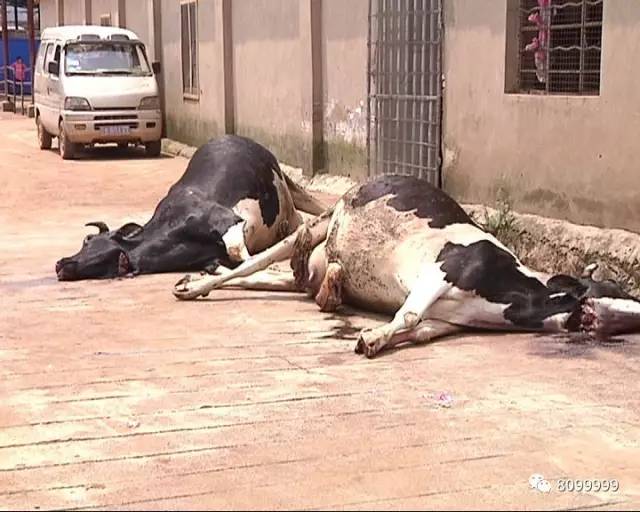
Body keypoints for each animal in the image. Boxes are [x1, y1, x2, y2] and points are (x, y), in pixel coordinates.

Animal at [55, 134, 328, 282]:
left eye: (89, 240)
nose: (60, 263)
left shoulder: (228, 221)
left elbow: (245, 257)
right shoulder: (211, 261)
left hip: (286, 181)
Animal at [171, 174, 640, 358]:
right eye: (617, 290)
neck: (514, 295)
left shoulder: (450, 321)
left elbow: (421, 330)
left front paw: (378, 338)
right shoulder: (442, 270)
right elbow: (409, 314)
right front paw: (372, 338)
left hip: (309, 271)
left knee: (282, 279)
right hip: (320, 224)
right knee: (257, 263)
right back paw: (195, 287)